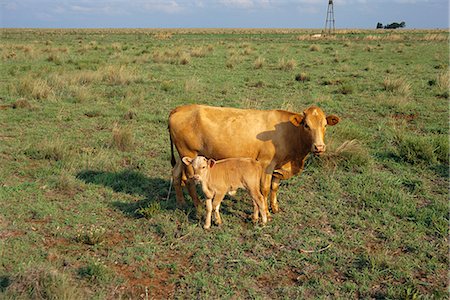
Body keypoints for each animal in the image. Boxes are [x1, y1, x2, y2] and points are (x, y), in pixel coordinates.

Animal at [169, 104, 342, 214]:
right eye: (306, 125)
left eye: (325, 125)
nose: (319, 147)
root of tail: (180, 108)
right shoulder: (266, 164)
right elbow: (264, 189)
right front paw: (266, 213)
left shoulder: (278, 166)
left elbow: (274, 187)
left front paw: (275, 207)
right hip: (190, 154)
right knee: (188, 180)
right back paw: (198, 207)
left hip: (183, 156)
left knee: (176, 174)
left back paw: (181, 202)